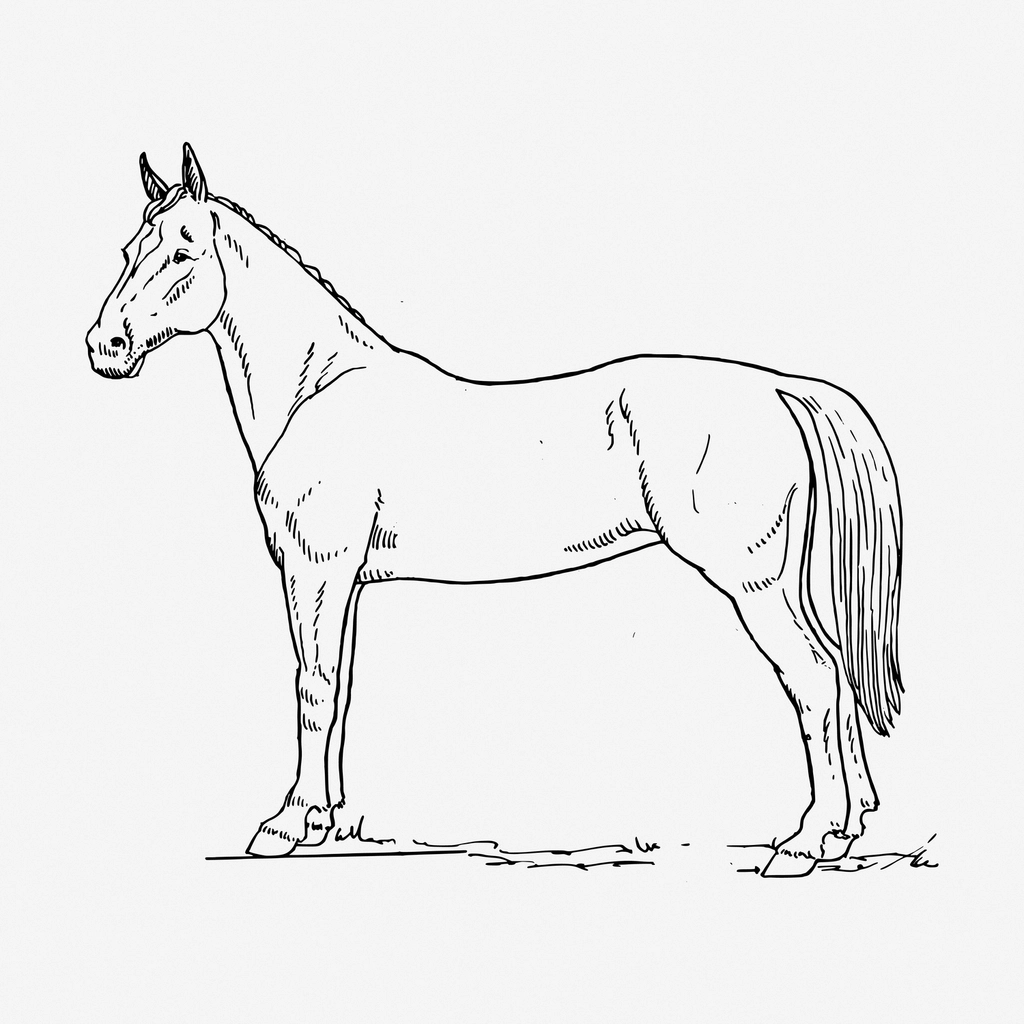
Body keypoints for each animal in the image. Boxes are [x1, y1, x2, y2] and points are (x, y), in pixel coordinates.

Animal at [86, 143, 903, 876]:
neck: (317, 389)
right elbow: (341, 690)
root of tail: (779, 387)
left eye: (183, 252)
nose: (105, 345)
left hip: (753, 583)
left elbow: (312, 688)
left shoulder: (315, 571)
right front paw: (332, 822)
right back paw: (849, 828)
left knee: (813, 680)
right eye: (130, 248)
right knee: (838, 673)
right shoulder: (344, 583)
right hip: (785, 582)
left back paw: (804, 843)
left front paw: (286, 825)